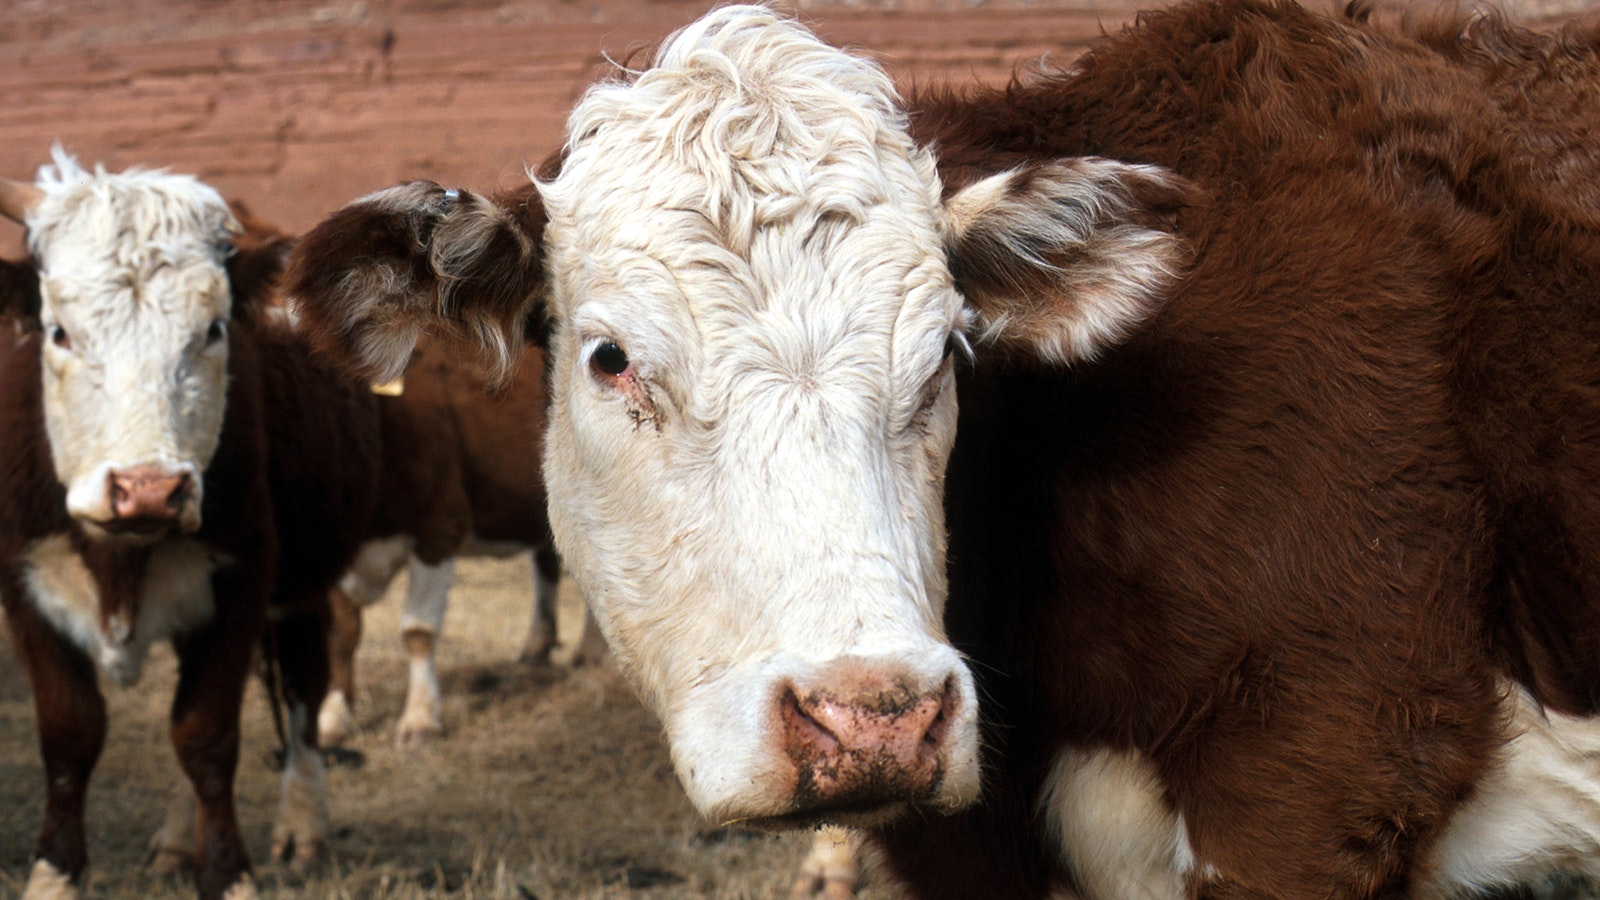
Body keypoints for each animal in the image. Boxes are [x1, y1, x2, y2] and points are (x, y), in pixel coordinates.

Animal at [0, 148, 377, 896]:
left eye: (213, 330)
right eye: (59, 331)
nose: (148, 490)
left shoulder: (241, 580)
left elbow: (205, 735)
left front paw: (228, 873)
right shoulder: (23, 582)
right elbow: (69, 734)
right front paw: (54, 873)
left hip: (300, 584)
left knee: (302, 683)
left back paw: (302, 824)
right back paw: (178, 840)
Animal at [318, 333, 604, 746]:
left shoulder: (440, 528)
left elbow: (418, 631)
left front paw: (420, 719)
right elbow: (342, 634)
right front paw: (332, 718)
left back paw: (591, 652)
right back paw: (537, 646)